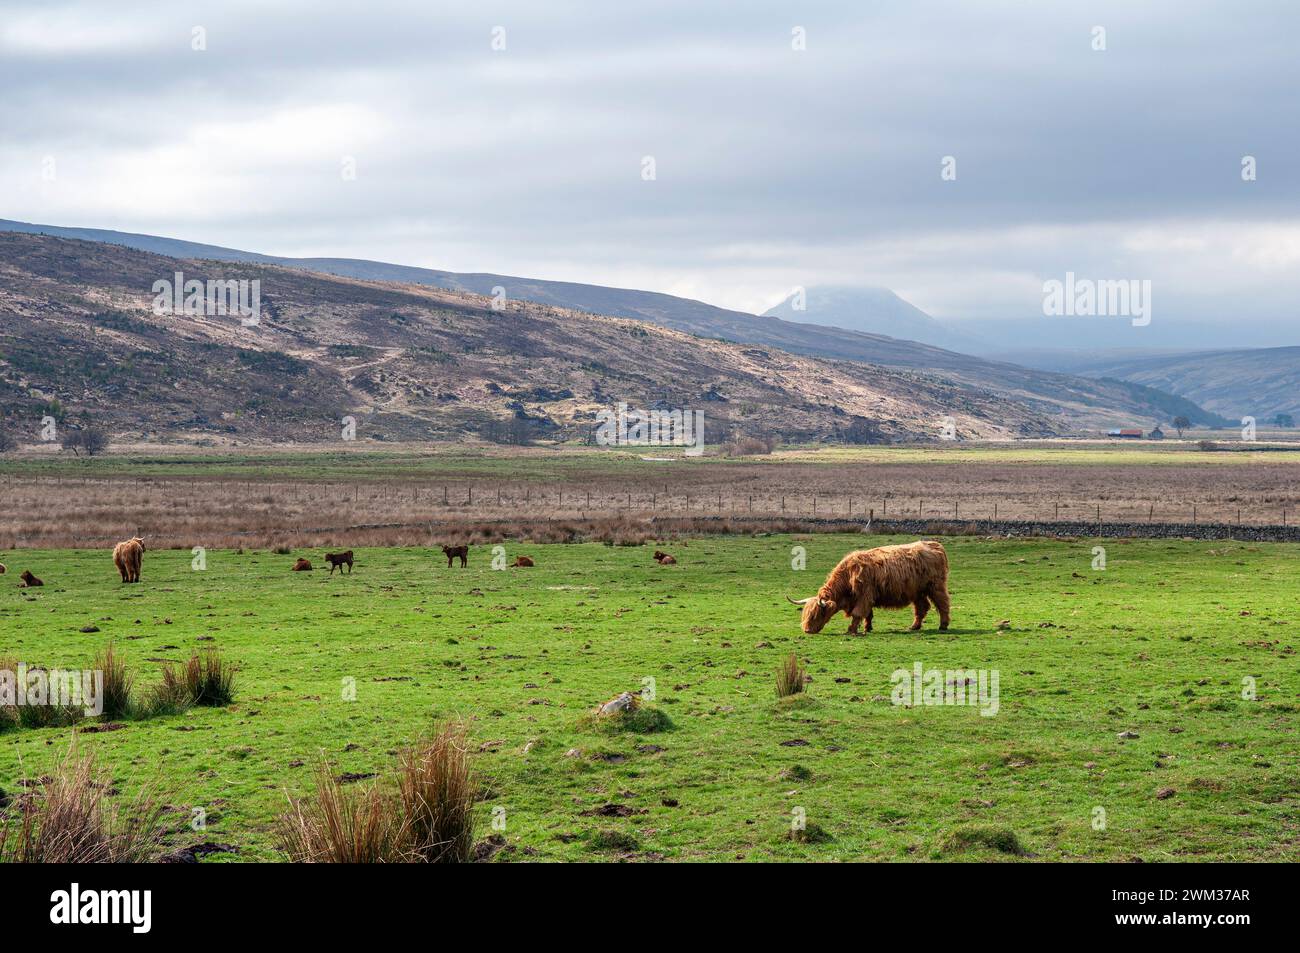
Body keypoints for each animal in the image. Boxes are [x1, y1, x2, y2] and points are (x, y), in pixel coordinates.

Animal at [785, 543, 951, 631]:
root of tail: (934, 545)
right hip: (917, 592)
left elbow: (858, 613)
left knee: (943, 604)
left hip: (935, 587)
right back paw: (914, 626)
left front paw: (851, 630)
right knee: (922, 607)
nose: (807, 630)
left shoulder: (864, 596)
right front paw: (867, 627)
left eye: (817, 614)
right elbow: (868, 614)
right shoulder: (866, 597)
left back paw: (943, 625)